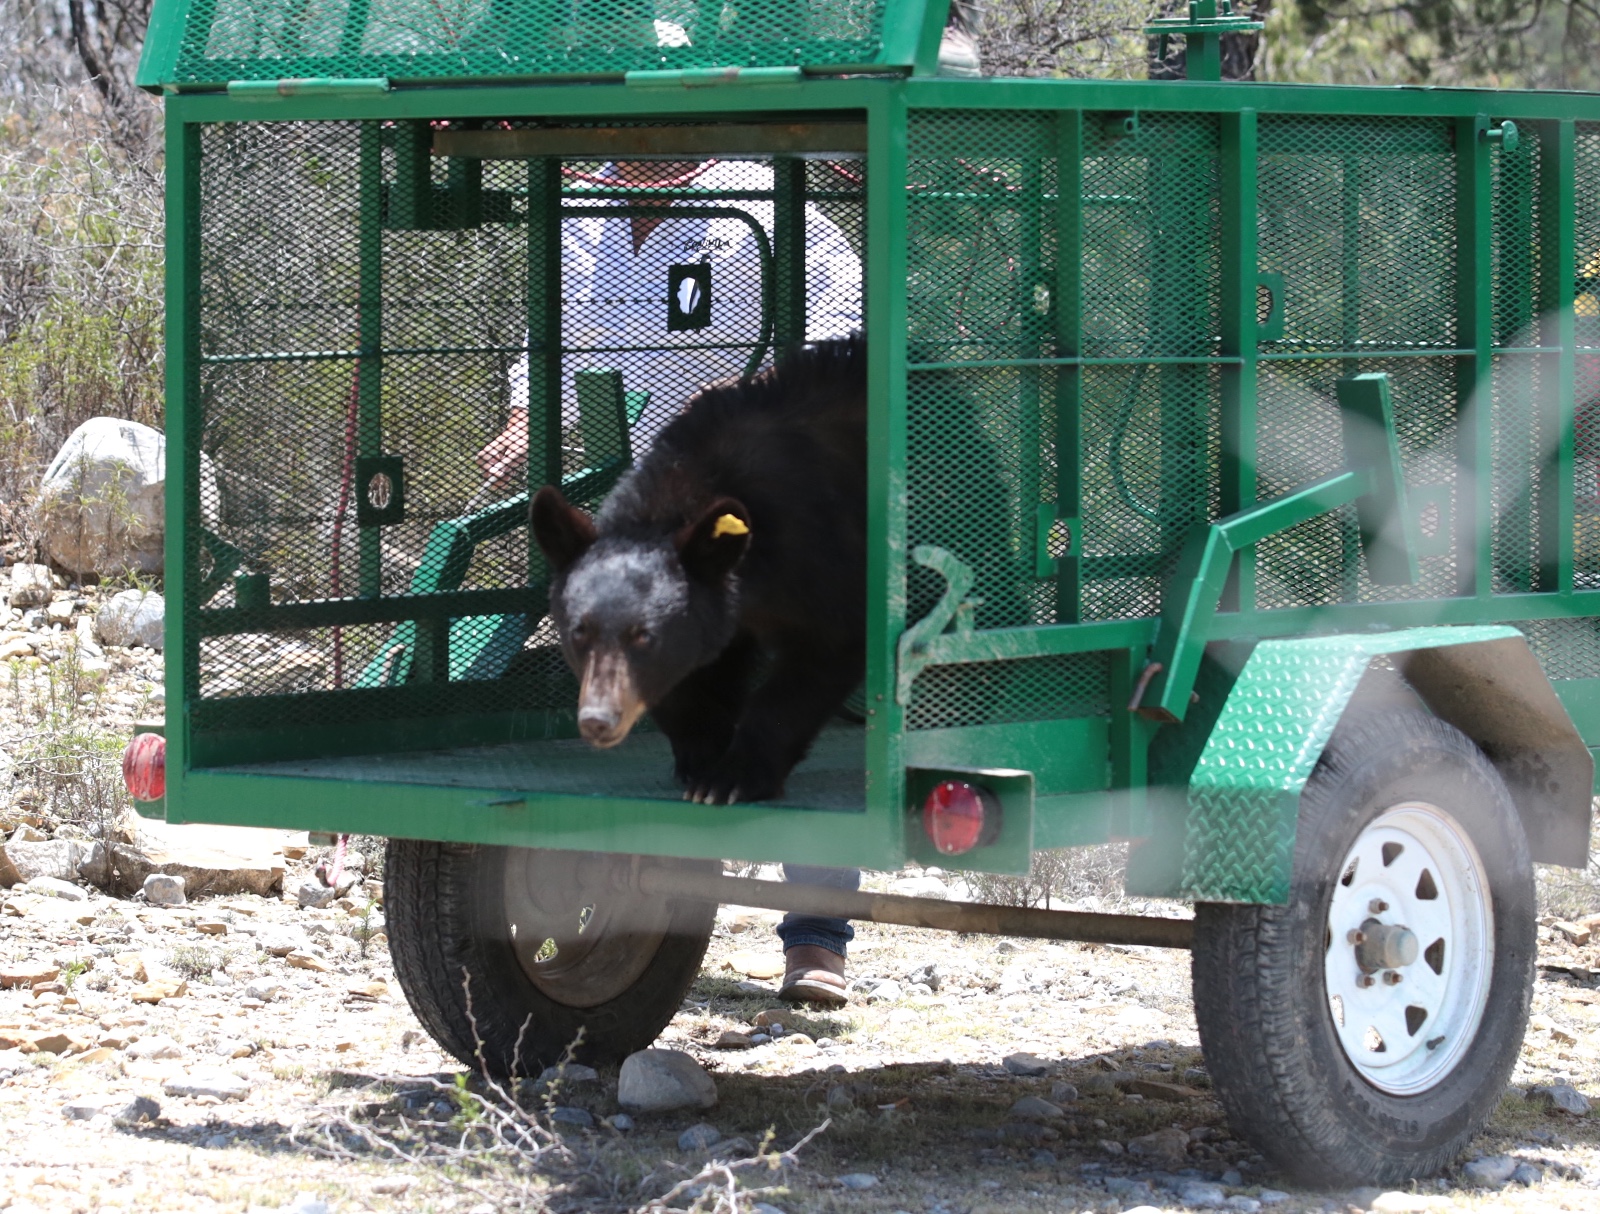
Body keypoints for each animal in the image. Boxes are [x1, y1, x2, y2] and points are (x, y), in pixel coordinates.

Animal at [530, 336, 867, 804]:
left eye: (644, 636)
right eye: (580, 632)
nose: (598, 719)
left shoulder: (820, 555)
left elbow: (825, 649)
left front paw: (732, 778)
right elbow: (698, 673)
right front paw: (702, 755)